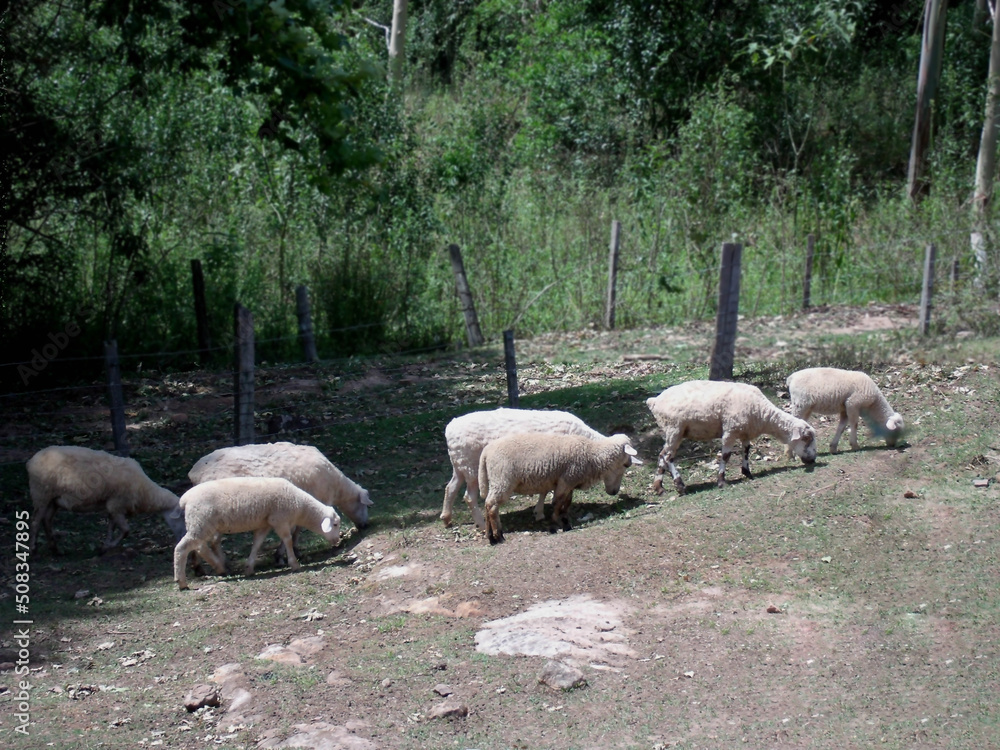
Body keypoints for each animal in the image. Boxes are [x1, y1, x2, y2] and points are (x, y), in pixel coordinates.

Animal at [26, 446, 186, 554]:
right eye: (181, 518)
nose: (183, 537)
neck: (146, 492)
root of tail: (31, 460)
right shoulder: (117, 505)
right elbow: (126, 530)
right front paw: (109, 546)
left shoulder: (113, 506)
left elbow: (111, 527)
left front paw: (105, 546)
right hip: (41, 494)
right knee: (35, 521)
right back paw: (33, 548)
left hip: (53, 500)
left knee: (46, 520)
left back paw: (55, 549)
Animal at [173, 476, 341, 590]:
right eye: (335, 524)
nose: (338, 540)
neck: (300, 505)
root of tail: (184, 499)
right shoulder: (279, 519)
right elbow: (287, 540)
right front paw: (294, 563)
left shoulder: (265, 523)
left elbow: (257, 543)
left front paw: (249, 568)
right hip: (201, 523)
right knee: (183, 548)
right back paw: (181, 582)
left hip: (201, 525)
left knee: (200, 547)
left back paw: (220, 567)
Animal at [441, 408, 608, 530]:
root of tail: (450, 428)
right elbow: (546, 490)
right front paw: (541, 512)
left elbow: (544, 490)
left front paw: (539, 511)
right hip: (471, 467)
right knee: (469, 497)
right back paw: (481, 524)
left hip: (460, 465)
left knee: (450, 488)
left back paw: (446, 518)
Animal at [477, 432, 642, 544]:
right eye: (626, 464)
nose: (614, 492)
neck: (591, 455)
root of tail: (486, 452)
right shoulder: (565, 480)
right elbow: (557, 503)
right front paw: (554, 524)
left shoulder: (569, 483)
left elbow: (566, 503)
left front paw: (566, 523)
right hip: (502, 479)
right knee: (492, 505)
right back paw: (498, 536)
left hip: (497, 481)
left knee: (488, 505)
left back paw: (491, 537)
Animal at [645, 380, 817, 495]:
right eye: (806, 438)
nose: (813, 459)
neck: (764, 414)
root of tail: (654, 401)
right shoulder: (730, 430)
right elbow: (726, 456)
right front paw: (721, 481)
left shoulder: (745, 432)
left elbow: (746, 450)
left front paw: (747, 472)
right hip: (674, 428)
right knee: (668, 457)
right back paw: (679, 484)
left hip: (671, 432)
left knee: (662, 456)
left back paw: (659, 487)